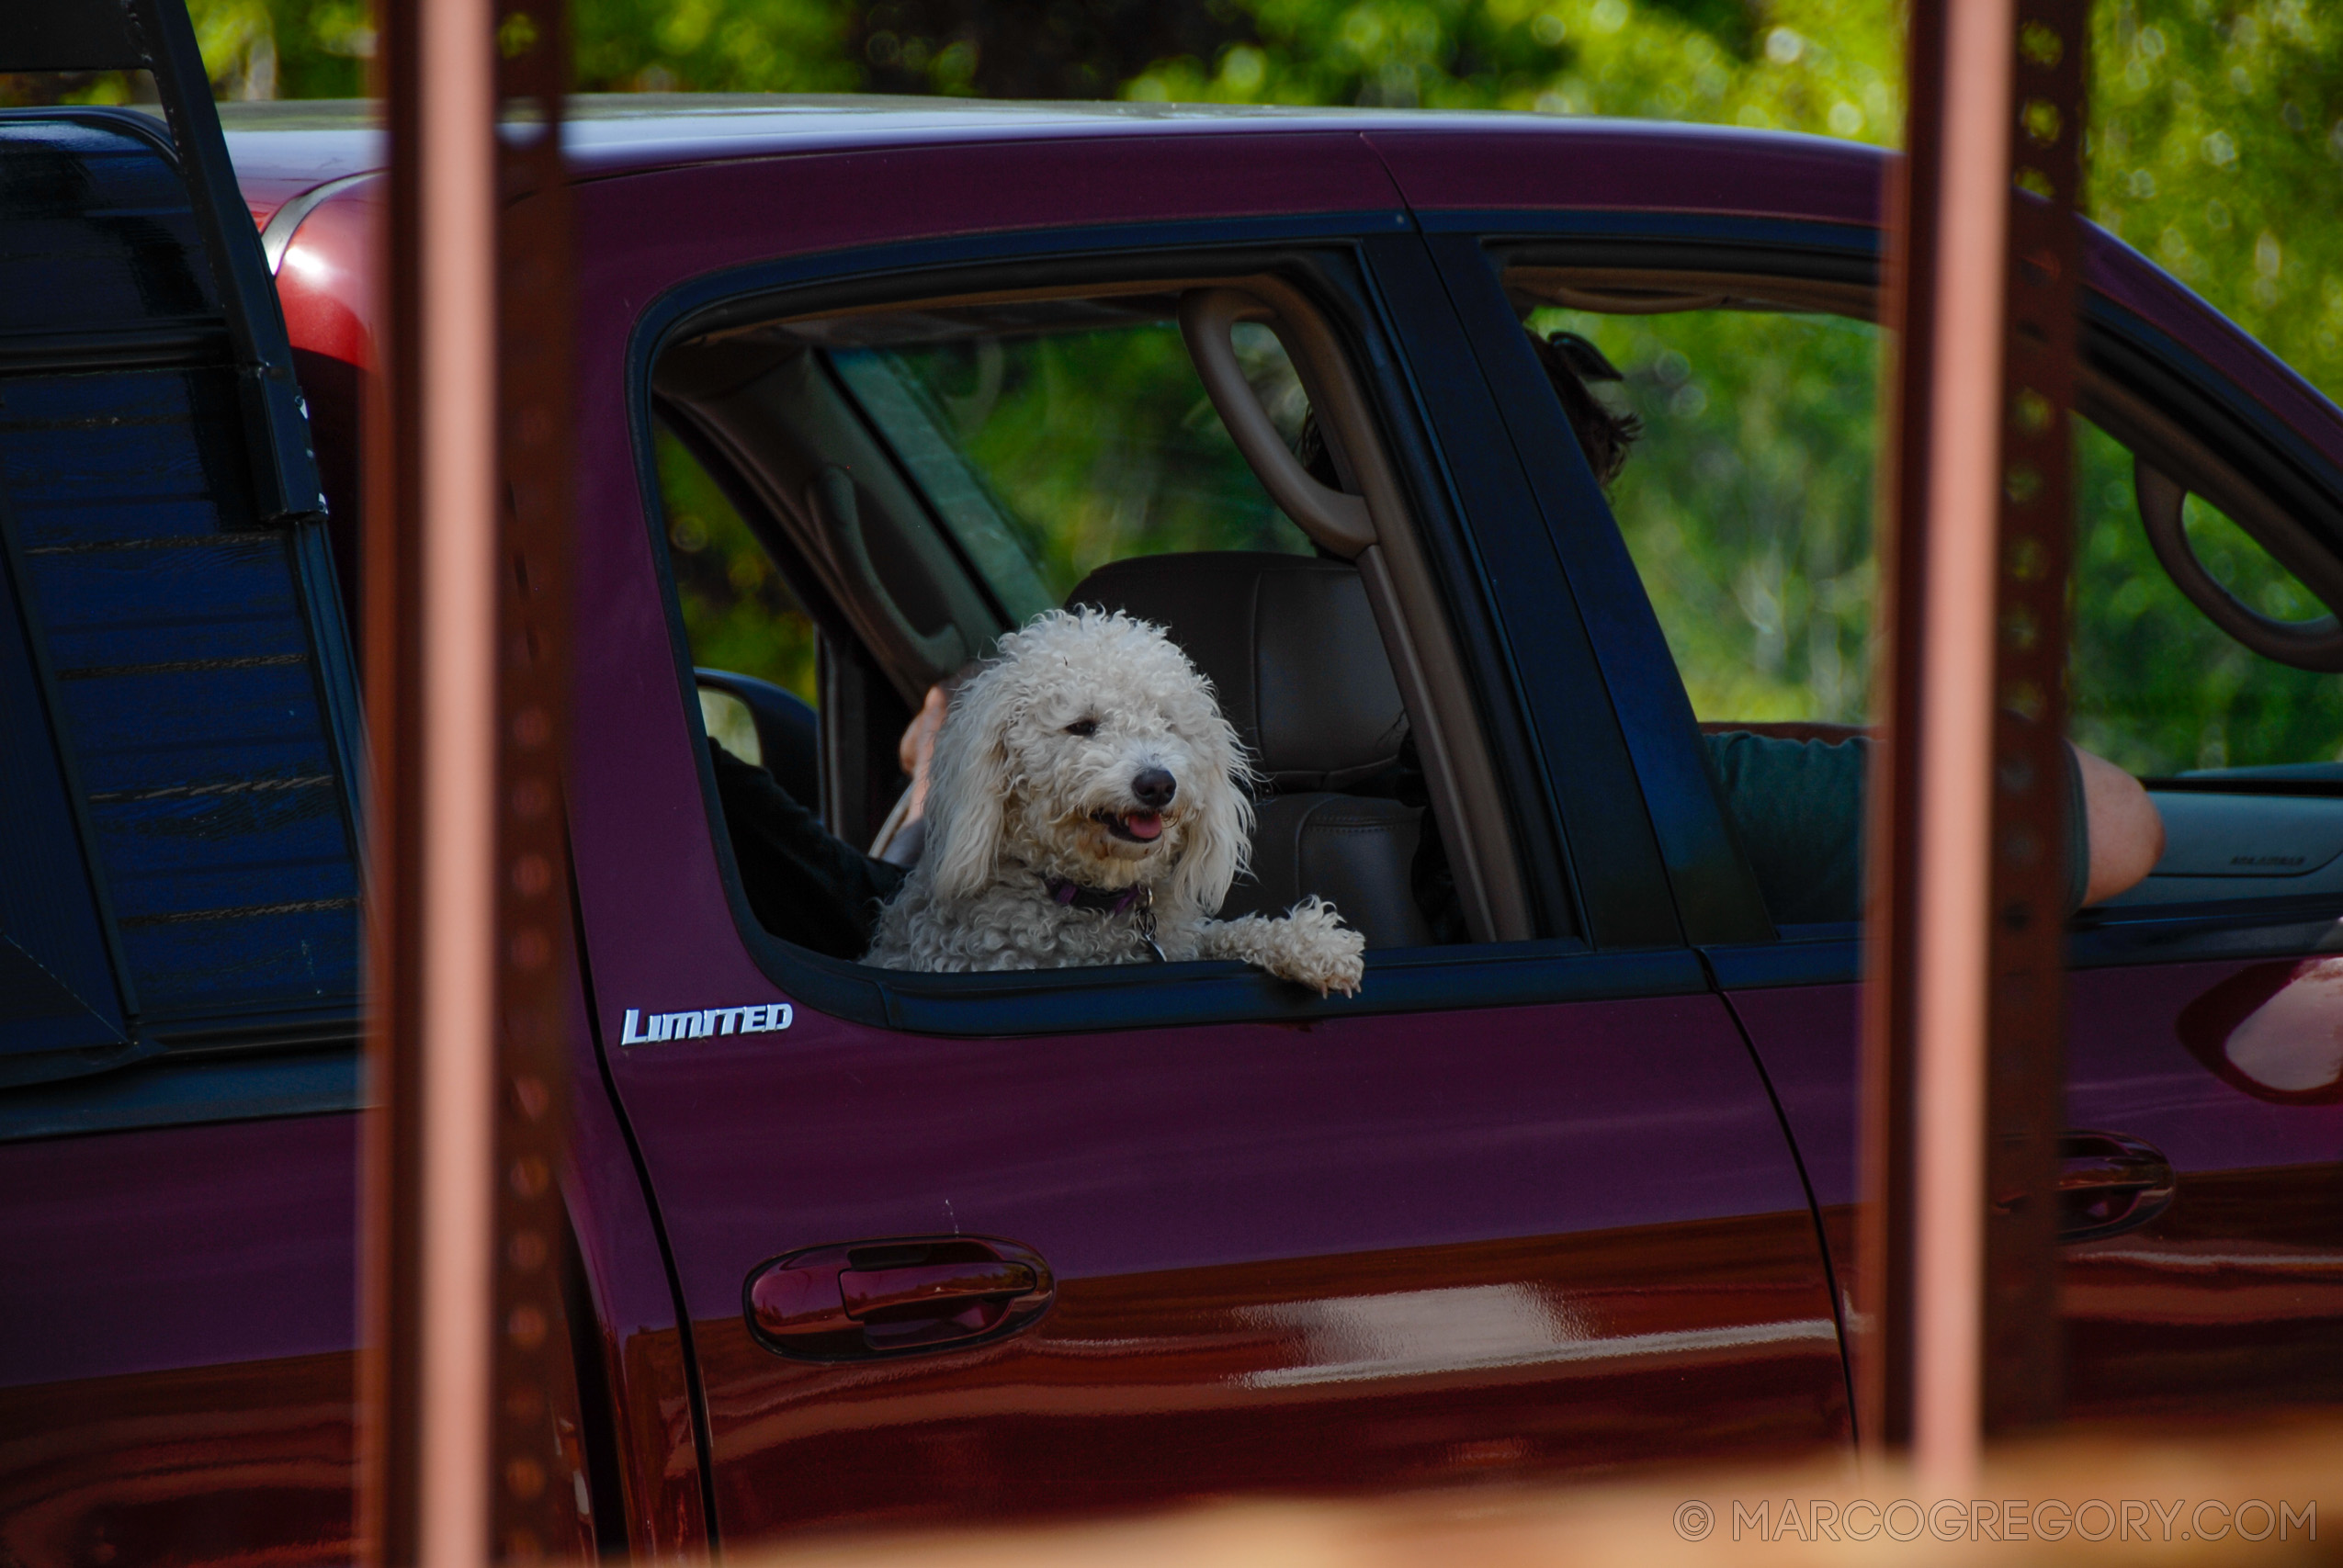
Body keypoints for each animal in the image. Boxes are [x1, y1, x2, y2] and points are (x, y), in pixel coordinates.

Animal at [871, 600, 1368, 988]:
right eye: (1081, 726)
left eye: (1167, 722)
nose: (1158, 783)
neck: (1096, 901)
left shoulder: (1180, 943)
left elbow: (1225, 933)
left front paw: (1313, 943)